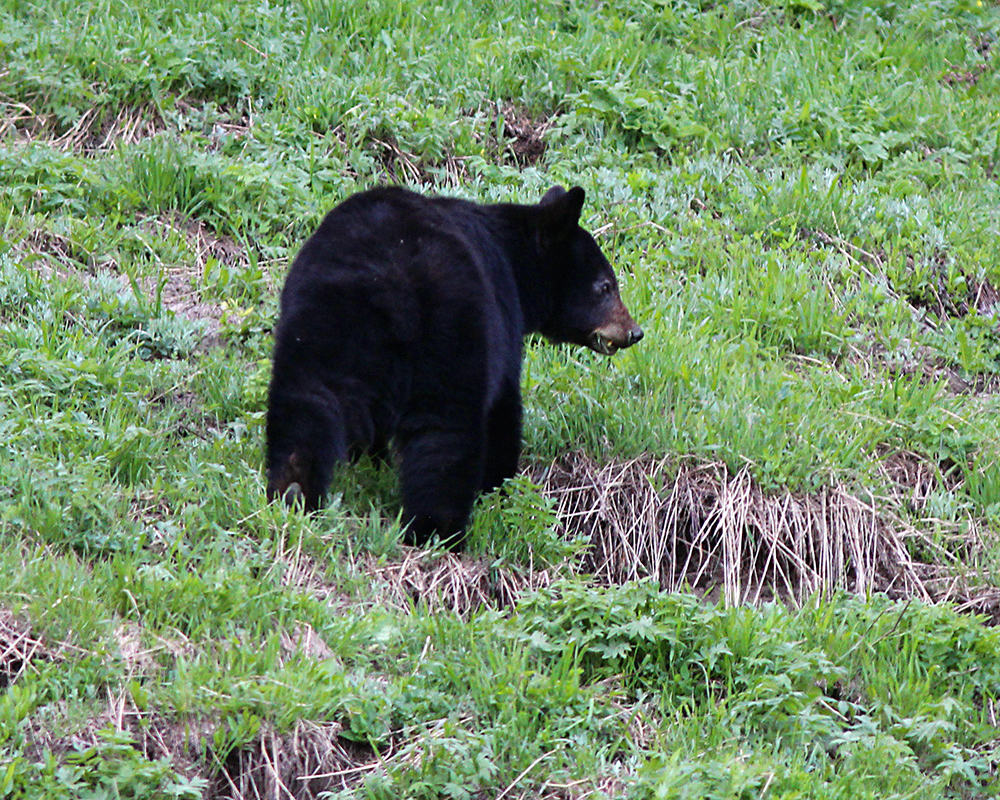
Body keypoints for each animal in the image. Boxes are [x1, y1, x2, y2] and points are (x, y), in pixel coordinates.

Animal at [264, 187, 640, 552]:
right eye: (605, 286)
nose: (635, 332)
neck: (514, 262)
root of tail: (383, 279)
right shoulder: (501, 320)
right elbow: (503, 409)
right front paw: (499, 489)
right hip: (451, 330)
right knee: (445, 436)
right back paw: (440, 532)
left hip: (320, 325)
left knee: (306, 404)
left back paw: (292, 490)